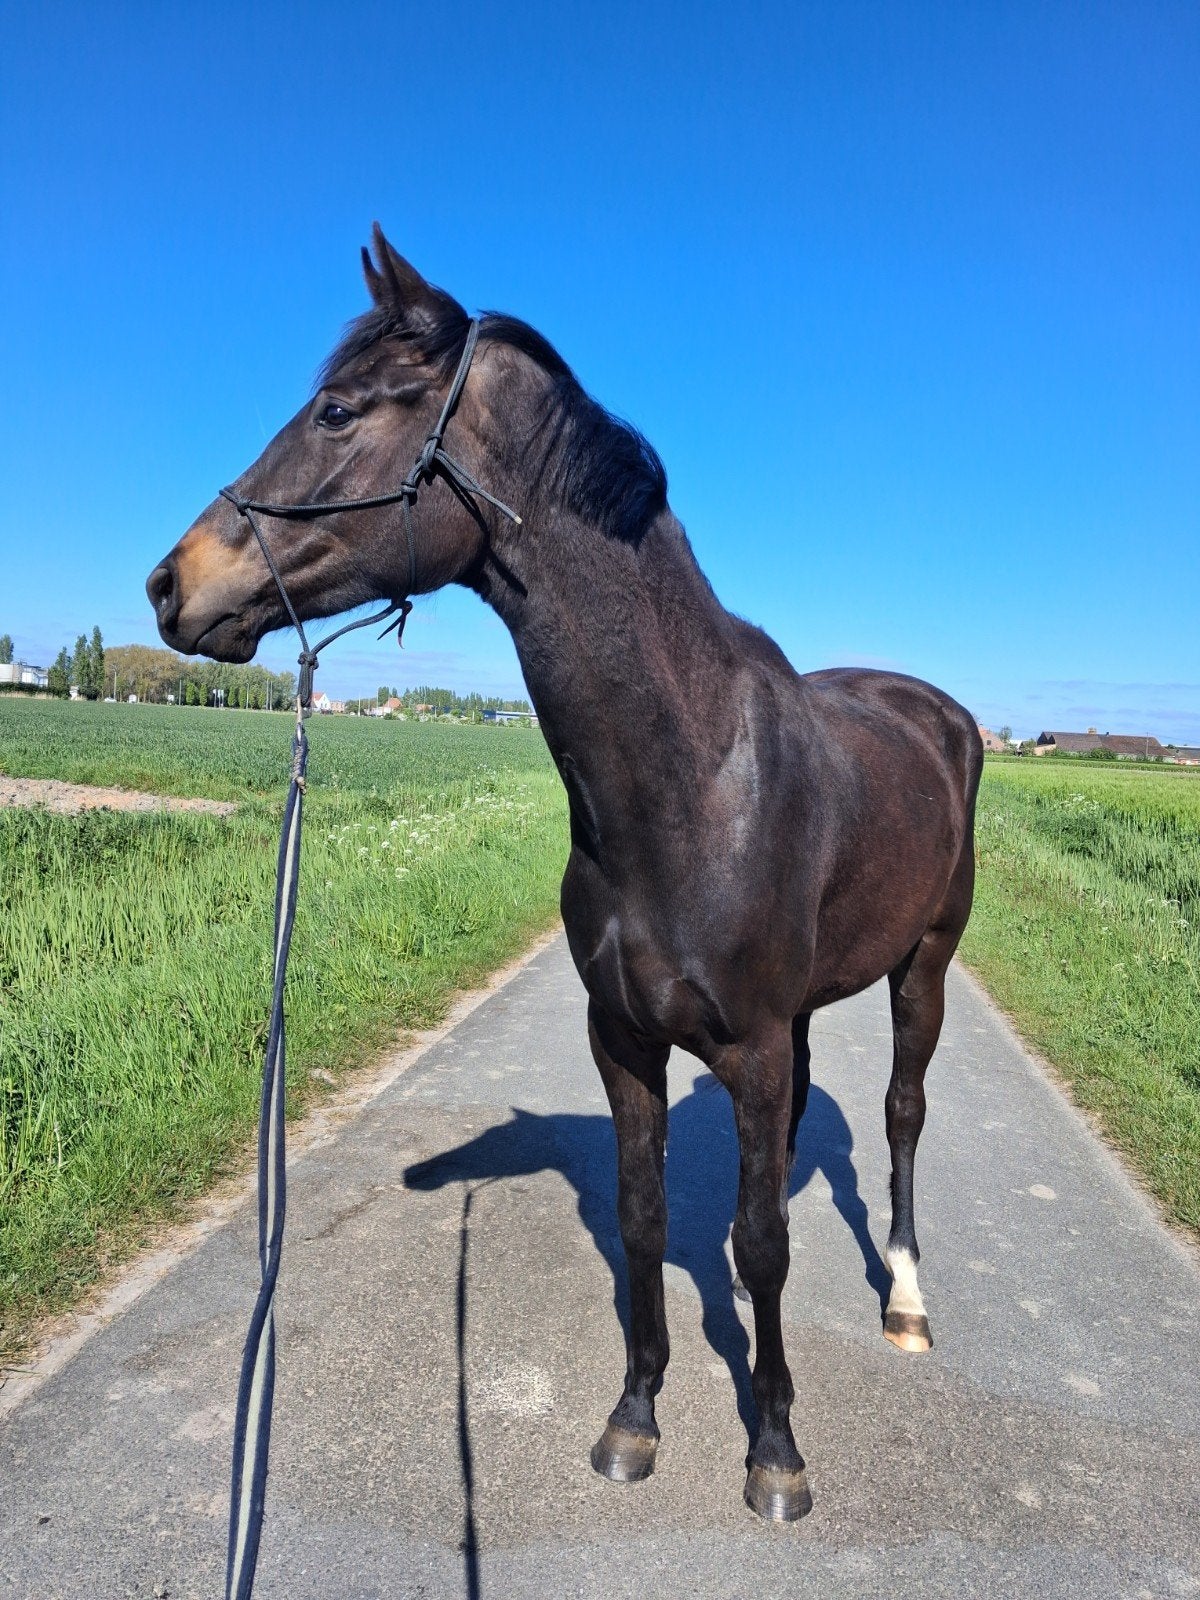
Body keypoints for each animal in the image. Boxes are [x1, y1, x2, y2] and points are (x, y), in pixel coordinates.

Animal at [148, 227, 982, 1522]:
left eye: (336, 410)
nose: (172, 583)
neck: (693, 782)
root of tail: (938, 711)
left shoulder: (748, 1046)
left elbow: (764, 1245)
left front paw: (775, 1447)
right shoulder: (626, 1040)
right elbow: (645, 1222)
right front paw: (635, 1416)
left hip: (925, 969)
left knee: (900, 1117)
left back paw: (905, 1298)